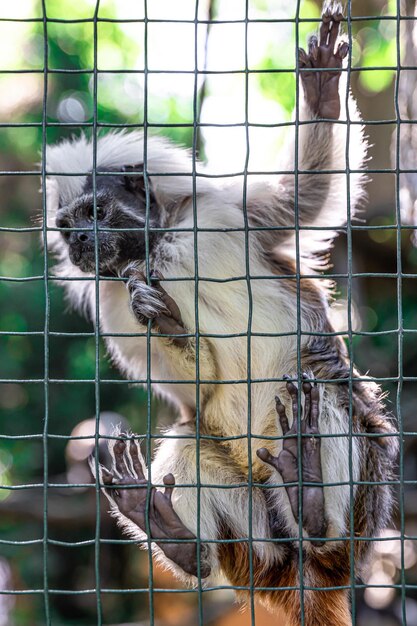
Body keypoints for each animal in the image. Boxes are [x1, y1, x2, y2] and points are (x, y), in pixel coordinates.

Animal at [44, 6, 396, 624]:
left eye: (96, 212)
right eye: (67, 228)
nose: (81, 242)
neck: (157, 246)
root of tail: (303, 577)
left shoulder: (226, 213)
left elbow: (303, 199)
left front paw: (323, 95)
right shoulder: (112, 302)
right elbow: (191, 392)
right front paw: (166, 324)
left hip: (361, 489)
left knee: (323, 387)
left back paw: (313, 503)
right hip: (253, 533)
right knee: (192, 444)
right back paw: (178, 535)